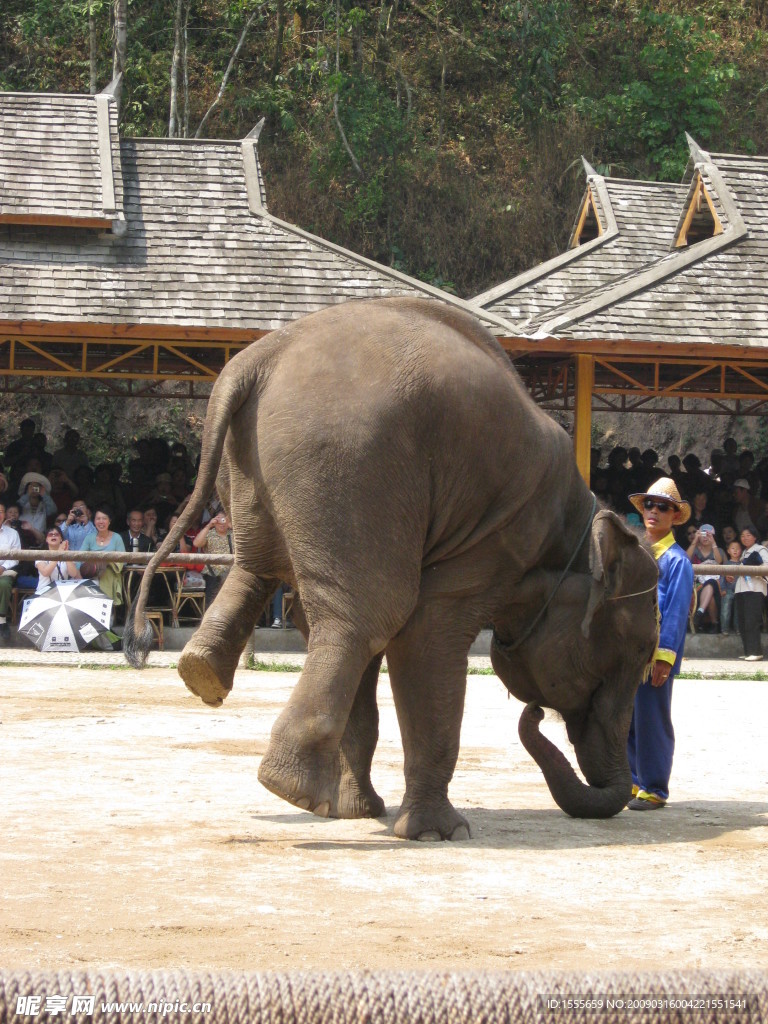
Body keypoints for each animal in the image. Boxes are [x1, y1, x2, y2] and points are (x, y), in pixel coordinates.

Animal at [123, 296, 659, 839]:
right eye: (639, 652)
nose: (532, 712)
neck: (579, 522)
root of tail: (257, 359)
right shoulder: (499, 533)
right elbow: (427, 632)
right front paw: (438, 833)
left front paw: (359, 812)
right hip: (350, 463)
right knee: (369, 614)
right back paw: (289, 787)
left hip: (269, 470)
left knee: (274, 577)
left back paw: (205, 674)